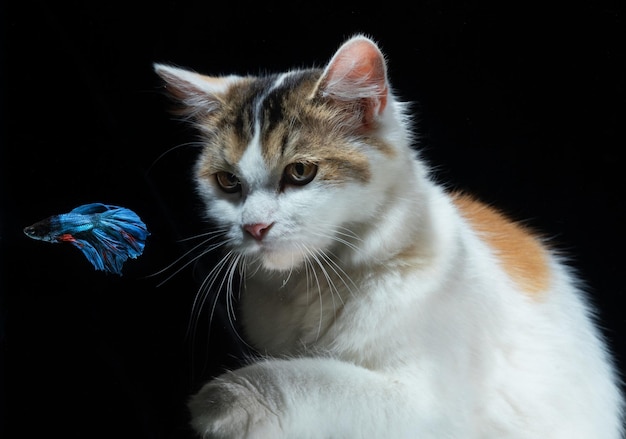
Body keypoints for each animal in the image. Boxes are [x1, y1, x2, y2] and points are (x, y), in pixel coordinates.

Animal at [154, 35, 620, 439]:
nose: (253, 227)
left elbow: (317, 379)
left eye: (300, 172)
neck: (311, 284)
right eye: (228, 182)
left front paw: (225, 401)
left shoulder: (426, 406)